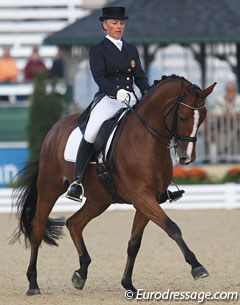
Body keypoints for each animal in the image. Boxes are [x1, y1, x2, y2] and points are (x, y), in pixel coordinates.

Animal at [11, 75, 216, 296]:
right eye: (183, 118)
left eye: (203, 118)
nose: (187, 158)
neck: (146, 140)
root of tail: (54, 129)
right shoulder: (141, 197)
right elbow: (172, 227)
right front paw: (197, 267)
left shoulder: (148, 199)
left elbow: (134, 243)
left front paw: (128, 284)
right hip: (49, 188)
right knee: (38, 231)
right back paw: (33, 284)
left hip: (99, 199)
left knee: (74, 223)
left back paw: (80, 274)